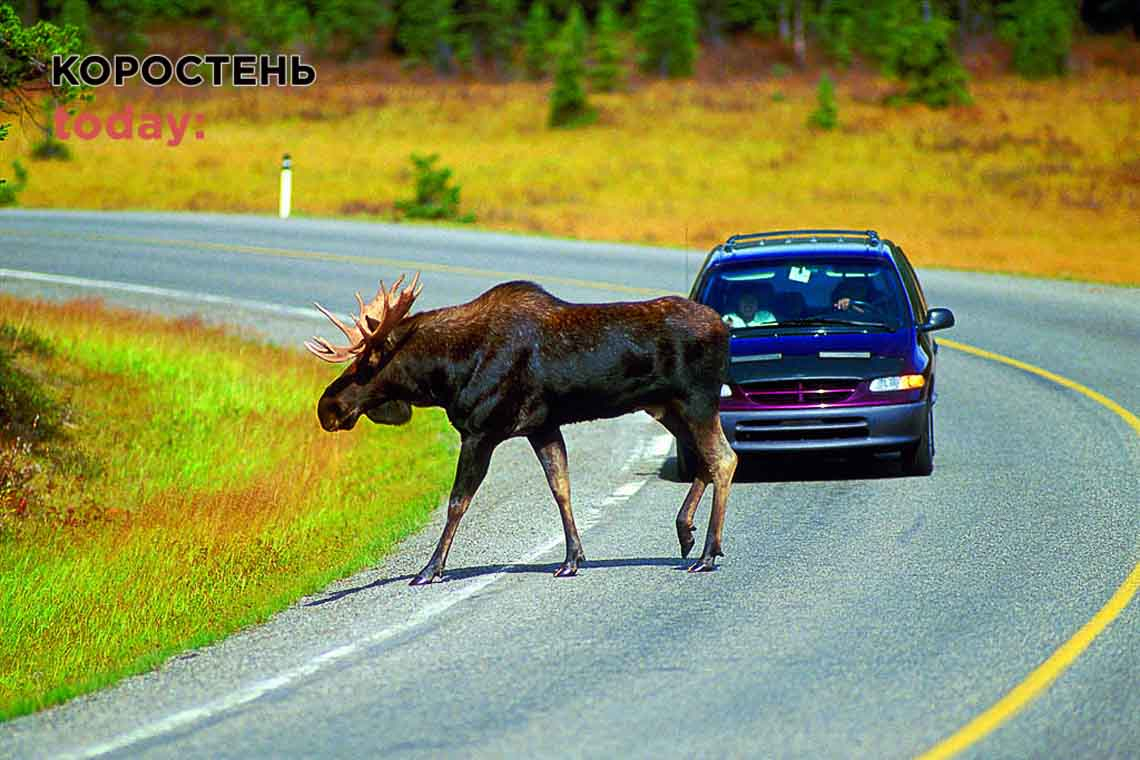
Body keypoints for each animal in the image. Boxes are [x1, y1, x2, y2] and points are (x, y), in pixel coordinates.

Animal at [305, 274, 738, 587]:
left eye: (366, 364)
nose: (327, 407)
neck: (445, 374)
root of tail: (724, 328)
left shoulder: (481, 431)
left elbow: (457, 502)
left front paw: (430, 569)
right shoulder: (541, 427)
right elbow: (560, 487)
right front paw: (571, 559)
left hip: (696, 399)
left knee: (724, 459)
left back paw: (707, 553)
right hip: (666, 407)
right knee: (705, 460)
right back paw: (686, 532)